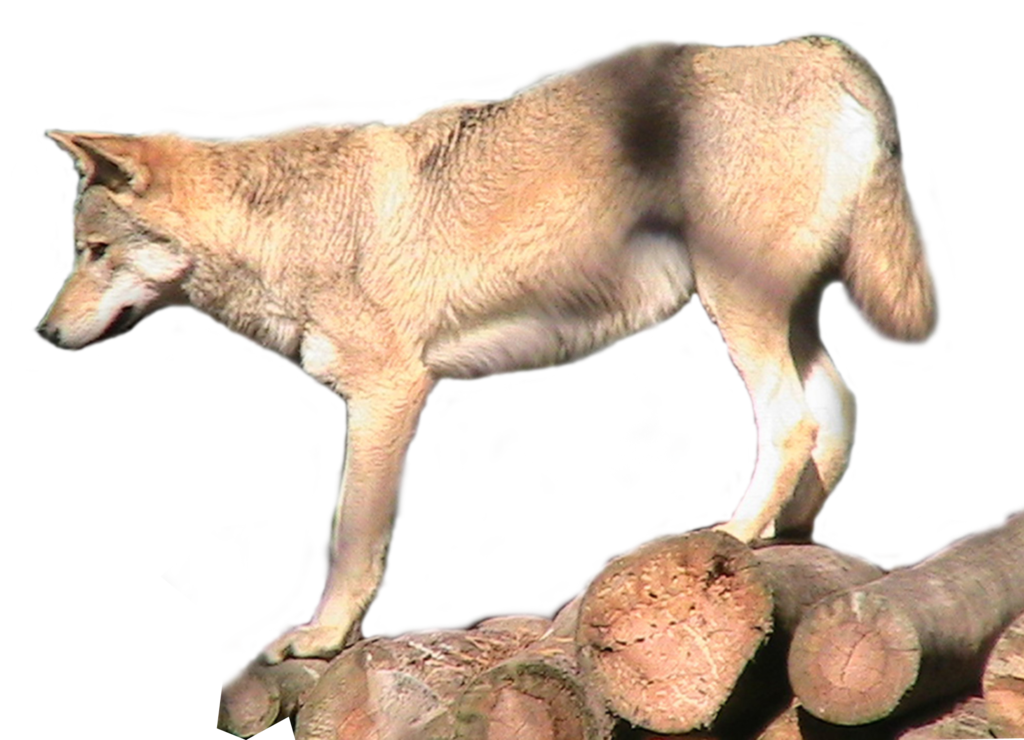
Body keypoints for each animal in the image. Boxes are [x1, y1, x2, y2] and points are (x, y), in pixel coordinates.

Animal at [35, 33, 942, 663]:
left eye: (95, 252)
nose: (42, 336)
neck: (288, 226)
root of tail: (811, 48)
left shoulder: (388, 397)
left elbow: (349, 543)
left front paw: (318, 641)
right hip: (782, 318)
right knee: (837, 411)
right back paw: (791, 536)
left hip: (738, 311)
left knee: (792, 424)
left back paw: (733, 538)